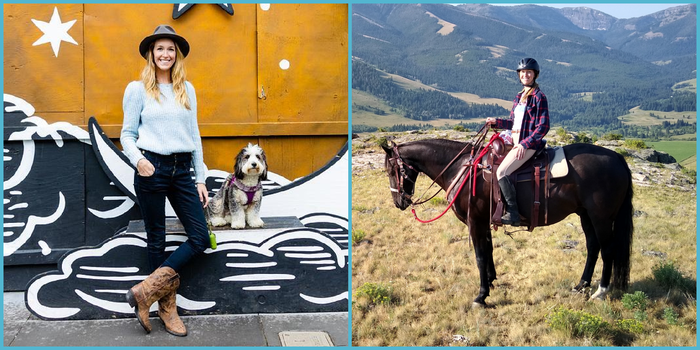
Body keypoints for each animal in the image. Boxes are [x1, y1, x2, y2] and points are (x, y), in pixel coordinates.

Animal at [382, 138, 636, 308]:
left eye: (391, 170)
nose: (398, 202)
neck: (464, 169)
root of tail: (617, 158)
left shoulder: (475, 221)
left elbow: (479, 255)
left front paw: (481, 296)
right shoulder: (484, 221)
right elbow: (489, 250)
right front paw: (491, 281)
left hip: (601, 217)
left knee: (608, 250)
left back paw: (600, 291)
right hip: (585, 215)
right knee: (593, 247)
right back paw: (581, 285)